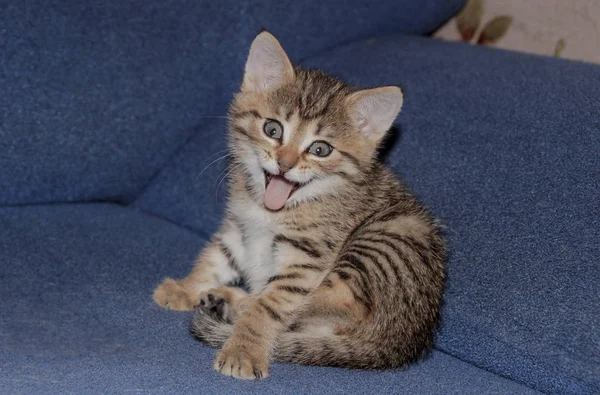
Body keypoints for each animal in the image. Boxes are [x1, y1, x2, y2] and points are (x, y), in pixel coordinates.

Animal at [155, 31, 446, 380]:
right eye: (273, 129)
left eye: (320, 149)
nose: (284, 163)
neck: (273, 210)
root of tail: (400, 342)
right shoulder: (240, 228)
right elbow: (215, 258)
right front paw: (186, 288)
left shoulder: (306, 260)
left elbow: (270, 305)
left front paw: (244, 350)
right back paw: (223, 299)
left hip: (379, 244)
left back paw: (236, 306)